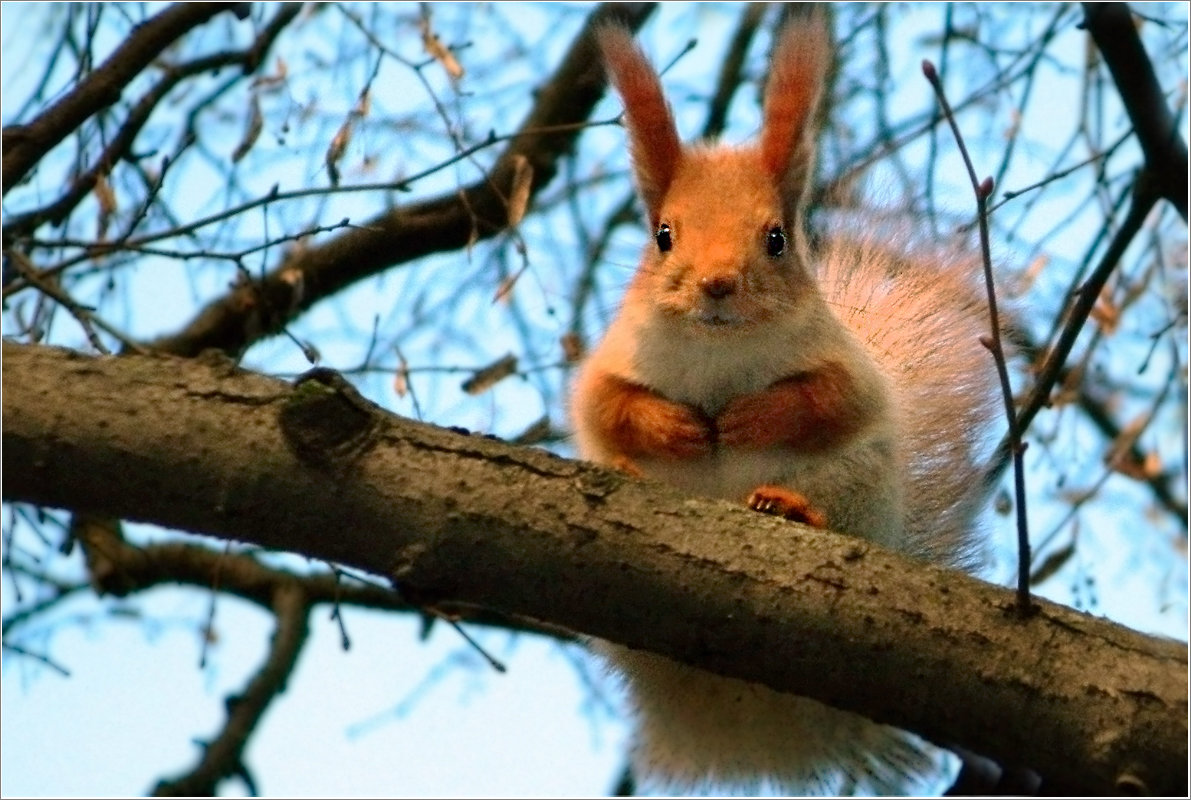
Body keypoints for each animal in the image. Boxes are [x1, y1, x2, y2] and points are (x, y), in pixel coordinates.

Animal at [566, 14, 1005, 800]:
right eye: (663, 235)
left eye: (775, 238)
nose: (716, 284)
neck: (718, 351)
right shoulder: (606, 368)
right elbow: (607, 407)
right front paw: (677, 429)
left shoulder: (846, 370)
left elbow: (827, 402)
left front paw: (749, 419)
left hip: (854, 481)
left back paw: (790, 509)